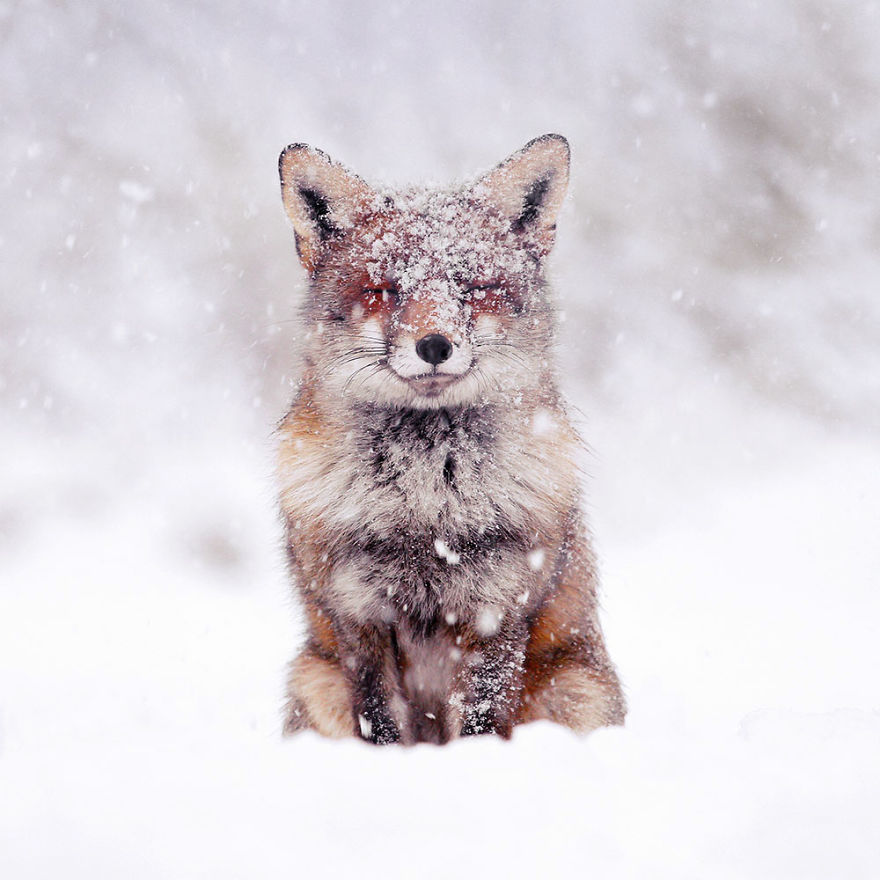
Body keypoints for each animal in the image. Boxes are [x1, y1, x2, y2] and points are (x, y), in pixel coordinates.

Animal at [276, 134, 625, 745]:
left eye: (474, 288)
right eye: (385, 290)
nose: (434, 345)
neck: (426, 504)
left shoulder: (499, 606)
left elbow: (482, 720)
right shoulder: (358, 614)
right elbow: (380, 721)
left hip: (576, 691)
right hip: (314, 677)